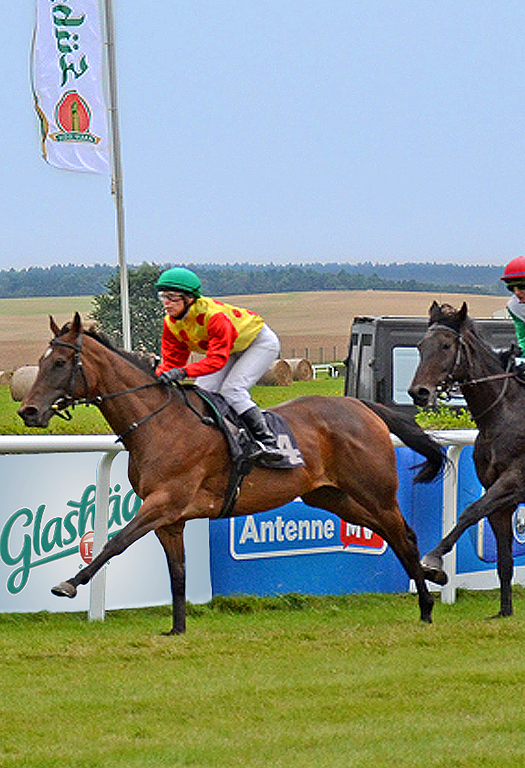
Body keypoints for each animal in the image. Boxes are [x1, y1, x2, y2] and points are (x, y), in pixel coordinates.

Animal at [18, 313, 446, 633]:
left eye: (59, 363)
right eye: (40, 362)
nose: (28, 411)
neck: (159, 423)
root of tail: (363, 407)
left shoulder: (164, 502)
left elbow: (115, 542)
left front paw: (69, 584)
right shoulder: (170, 519)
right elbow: (178, 572)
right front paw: (177, 629)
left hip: (375, 490)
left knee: (403, 534)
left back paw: (427, 603)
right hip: (331, 495)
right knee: (386, 532)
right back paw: (432, 581)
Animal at [409, 300, 525, 617]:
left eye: (447, 345)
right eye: (420, 346)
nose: (419, 392)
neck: (503, 416)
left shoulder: (514, 481)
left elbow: (469, 512)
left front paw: (433, 560)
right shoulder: (500, 498)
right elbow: (504, 560)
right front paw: (504, 611)